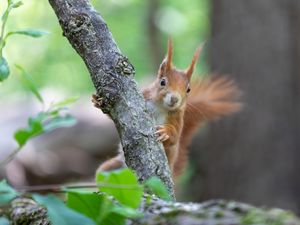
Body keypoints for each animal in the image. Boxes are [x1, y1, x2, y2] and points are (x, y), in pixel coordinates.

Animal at [92, 39, 240, 178]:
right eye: (162, 82)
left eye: (188, 89)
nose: (174, 99)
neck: (160, 106)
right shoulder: (142, 97)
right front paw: (98, 101)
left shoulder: (177, 117)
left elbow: (175, 136)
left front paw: (165, 132)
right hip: (110, 169)